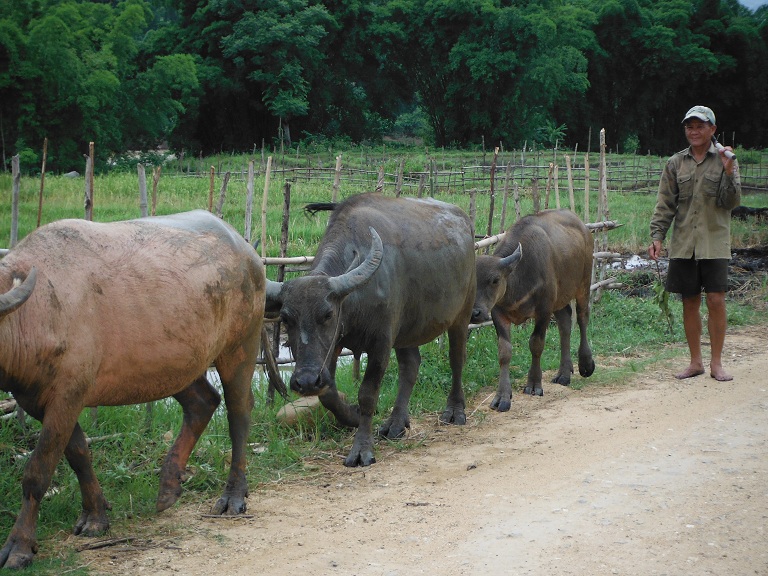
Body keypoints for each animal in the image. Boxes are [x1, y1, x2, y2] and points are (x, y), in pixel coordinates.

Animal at [0, 209, 266, 568]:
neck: (32, 312)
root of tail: (247, 250)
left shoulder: (66, 396)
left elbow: (37, 472)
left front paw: (19, 546)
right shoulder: (40, 400)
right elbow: (79, 454)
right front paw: (96, 515)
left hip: (240, 346)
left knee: (238, 413)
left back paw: (233, 495)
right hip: (172, 364)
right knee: (203, 401)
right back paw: (168, 486)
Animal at [268, 194, 476, 468]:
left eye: (328, 314)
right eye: (286, 318)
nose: (306, 381)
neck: (357, 298)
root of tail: (465, 222)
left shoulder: (381, 343)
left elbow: (368, 394)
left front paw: (361, 449)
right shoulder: (334, 345)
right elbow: (329, 394)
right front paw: (354, 416)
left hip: (462, 314)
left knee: (456, 359)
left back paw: (454, 411)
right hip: (407, 330)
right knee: (410, 366)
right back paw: (396, 424)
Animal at [472, 208, 596, 410]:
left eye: (495, 280)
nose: (475, 313)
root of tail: (583, 228)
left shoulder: (544, 310)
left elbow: (536, 344)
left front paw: (534, 384)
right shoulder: (498, 313)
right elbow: (504, 351)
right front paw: (502, 396)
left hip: (583, 284)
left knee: (582, 317)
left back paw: (585, 364)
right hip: (560, 298)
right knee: (565, 323)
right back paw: (564, 373)